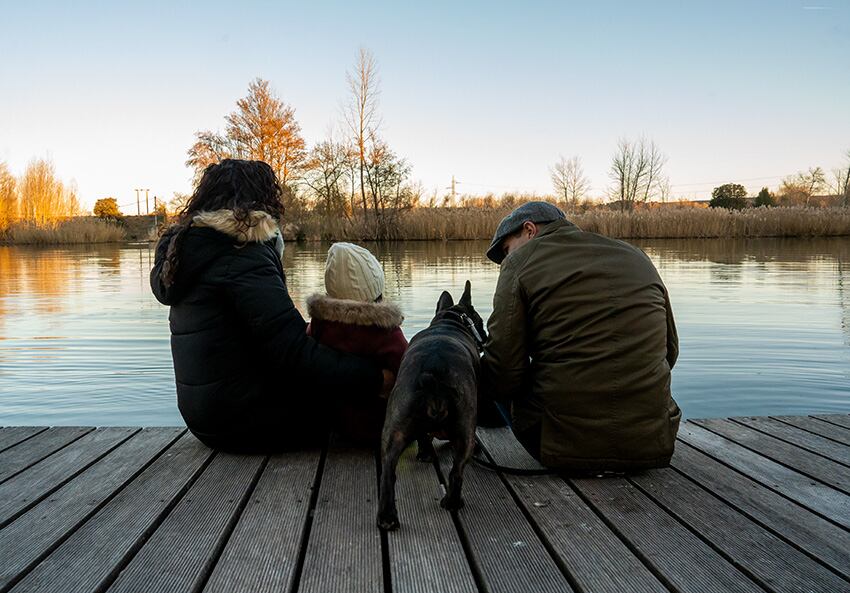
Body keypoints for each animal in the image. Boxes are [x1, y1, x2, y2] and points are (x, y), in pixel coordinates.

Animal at [372, 280, 480, 528]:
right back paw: (452, 502)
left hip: (395, 426)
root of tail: (433, 375)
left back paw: (387, 516)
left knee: (388, 473)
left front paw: (424, 453)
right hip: (465, 430)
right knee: (456, 471)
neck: (449, 321)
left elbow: (423, 436)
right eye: (479, 321)